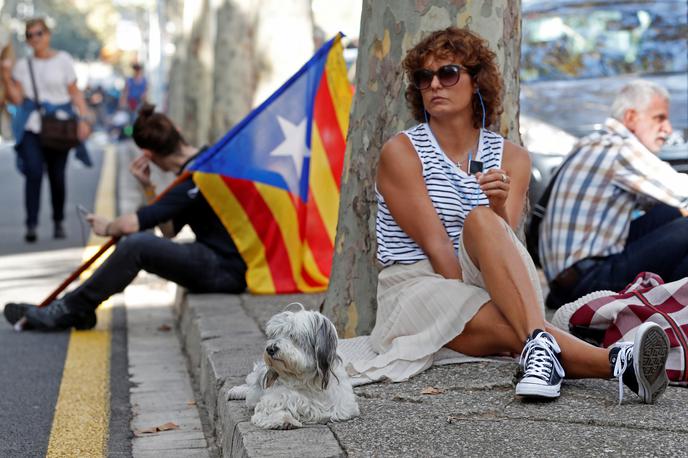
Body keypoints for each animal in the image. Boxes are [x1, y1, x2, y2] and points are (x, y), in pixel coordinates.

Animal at [230, 304, 362, 430]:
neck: (306, 381)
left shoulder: (344, 407)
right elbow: (273, 409)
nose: (270, 349)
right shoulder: (272, 400)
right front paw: (285, 420)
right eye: (274, 334)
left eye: (293, 335)